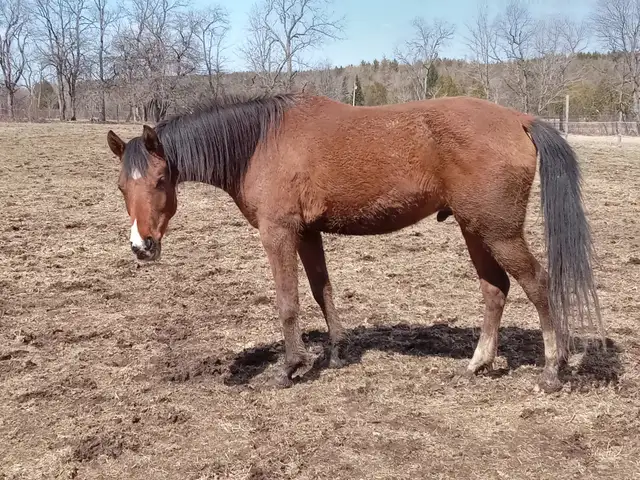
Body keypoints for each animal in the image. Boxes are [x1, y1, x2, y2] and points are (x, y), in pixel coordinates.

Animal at [106, 92, 603, 393]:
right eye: (121, 186)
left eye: (161, 179)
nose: (141, 245)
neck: (261, 142)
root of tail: (521, 120)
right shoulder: (308, 233)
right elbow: (321, 290)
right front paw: (336, 352)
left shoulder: (279, 233)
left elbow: (288, 302)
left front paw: (289, 368)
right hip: (475, 228)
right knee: (495, 289)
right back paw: (478, 362)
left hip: (498, 231)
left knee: (538, 284)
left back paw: (552, 371)